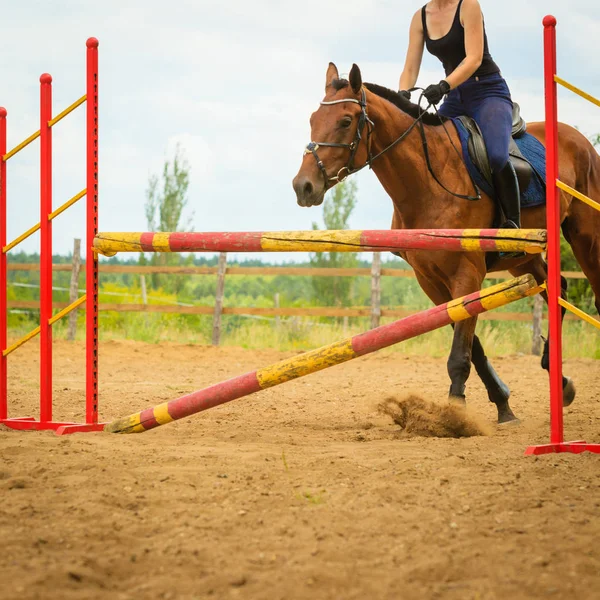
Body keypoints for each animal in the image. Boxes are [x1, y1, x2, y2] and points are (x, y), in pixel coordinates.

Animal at [292, 63, 600, 424]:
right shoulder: (431, 282)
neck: (427, 182)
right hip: (522, 257)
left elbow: (460, 353)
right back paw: (559, 380)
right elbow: (471, 345)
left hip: (585, 236)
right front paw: (503, 403)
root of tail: (578, 139)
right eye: (313, 119)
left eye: (344, 121)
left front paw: (455, 417)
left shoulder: (467, 276)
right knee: (558, 287)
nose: (303, 187)